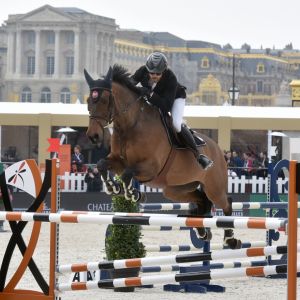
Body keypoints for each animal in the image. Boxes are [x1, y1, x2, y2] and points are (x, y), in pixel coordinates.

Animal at [84, 65, 241, 248]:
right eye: (88, 101)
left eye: (103, 100)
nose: (93, 136)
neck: (130, 125)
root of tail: (218, 149)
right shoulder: (118, 161)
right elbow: (102, 164)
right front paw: (113, 188)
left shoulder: (150, 167)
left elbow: (127, 174)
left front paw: (133, 194)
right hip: (176, 189)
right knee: (202, 200)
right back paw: (202, 232)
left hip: (213, 187)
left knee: (226, 202)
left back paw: (231, 239)